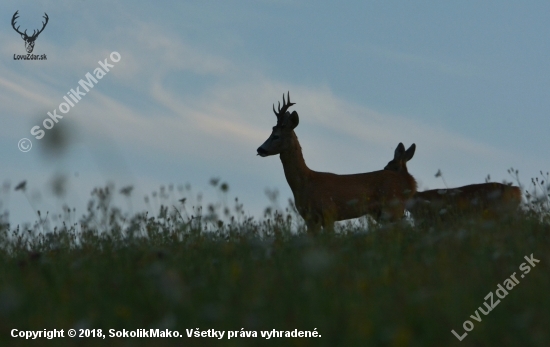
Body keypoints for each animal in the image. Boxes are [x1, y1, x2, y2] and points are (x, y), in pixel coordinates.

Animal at [258, 92, 418, 234]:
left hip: (393, 207)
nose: (260, 149)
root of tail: (410, 182)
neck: (306, 183)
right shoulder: (309, 219)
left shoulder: (329, 212)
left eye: (276, 136)